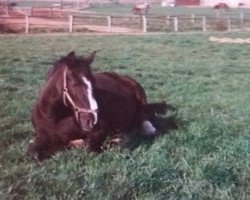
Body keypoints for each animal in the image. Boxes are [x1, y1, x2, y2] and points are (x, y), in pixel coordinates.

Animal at [29, 51, 170, 161]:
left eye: (94, 83)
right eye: (75, 83)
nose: (91, 120)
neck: (54, 117)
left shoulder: (100, 130)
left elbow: (89, 148)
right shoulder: (41, 137)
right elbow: (35, 153)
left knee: (142, 119)